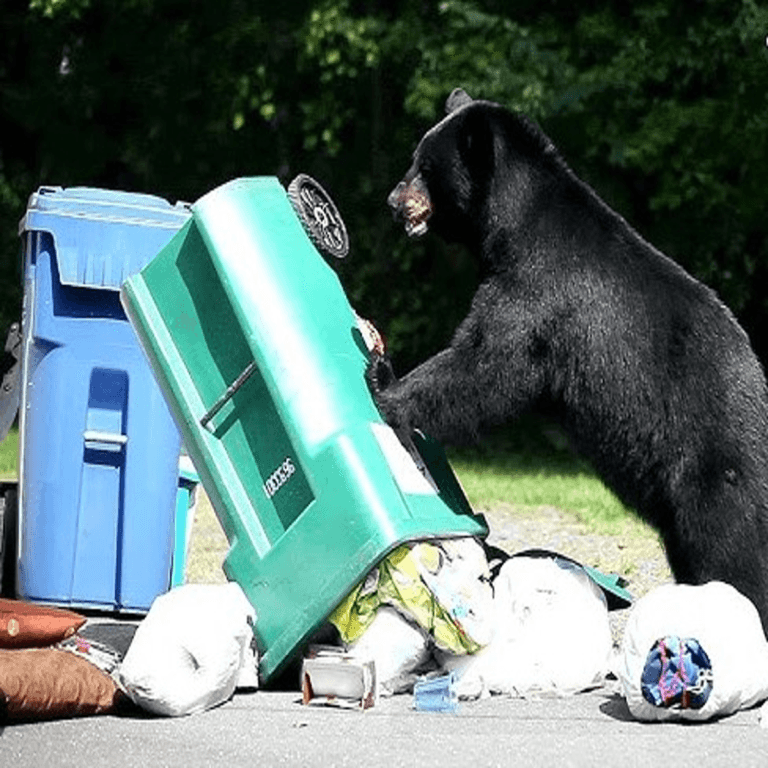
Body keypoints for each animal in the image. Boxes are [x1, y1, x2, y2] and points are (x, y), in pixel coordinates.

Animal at [373, 87, 768, 636]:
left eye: (426, 167)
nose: (393, 201)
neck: (513, 228)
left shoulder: (537, 294)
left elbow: (488, 365)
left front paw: (386, 389)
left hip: (715, 468)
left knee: (729, 551)